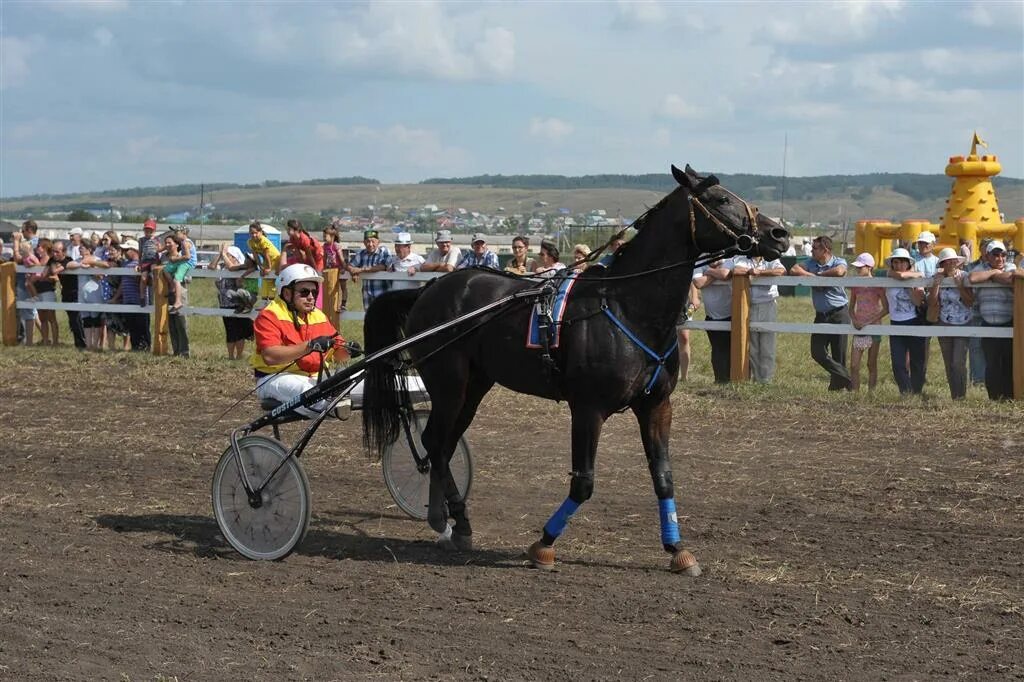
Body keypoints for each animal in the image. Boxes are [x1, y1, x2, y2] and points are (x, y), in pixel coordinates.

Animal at [364, 163, 786, 569]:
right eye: (720, 199)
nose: (779, 234)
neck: (628, 307)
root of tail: (428, 289)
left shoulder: (656, 405)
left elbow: (664, 477)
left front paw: (677, 550)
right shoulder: (588, 408)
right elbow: (583, 483)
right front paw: (544, 545)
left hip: (474, 386)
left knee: (444, 444)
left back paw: (443, 519)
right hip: (449, 383)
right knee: (435, 441)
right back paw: (458, 521)